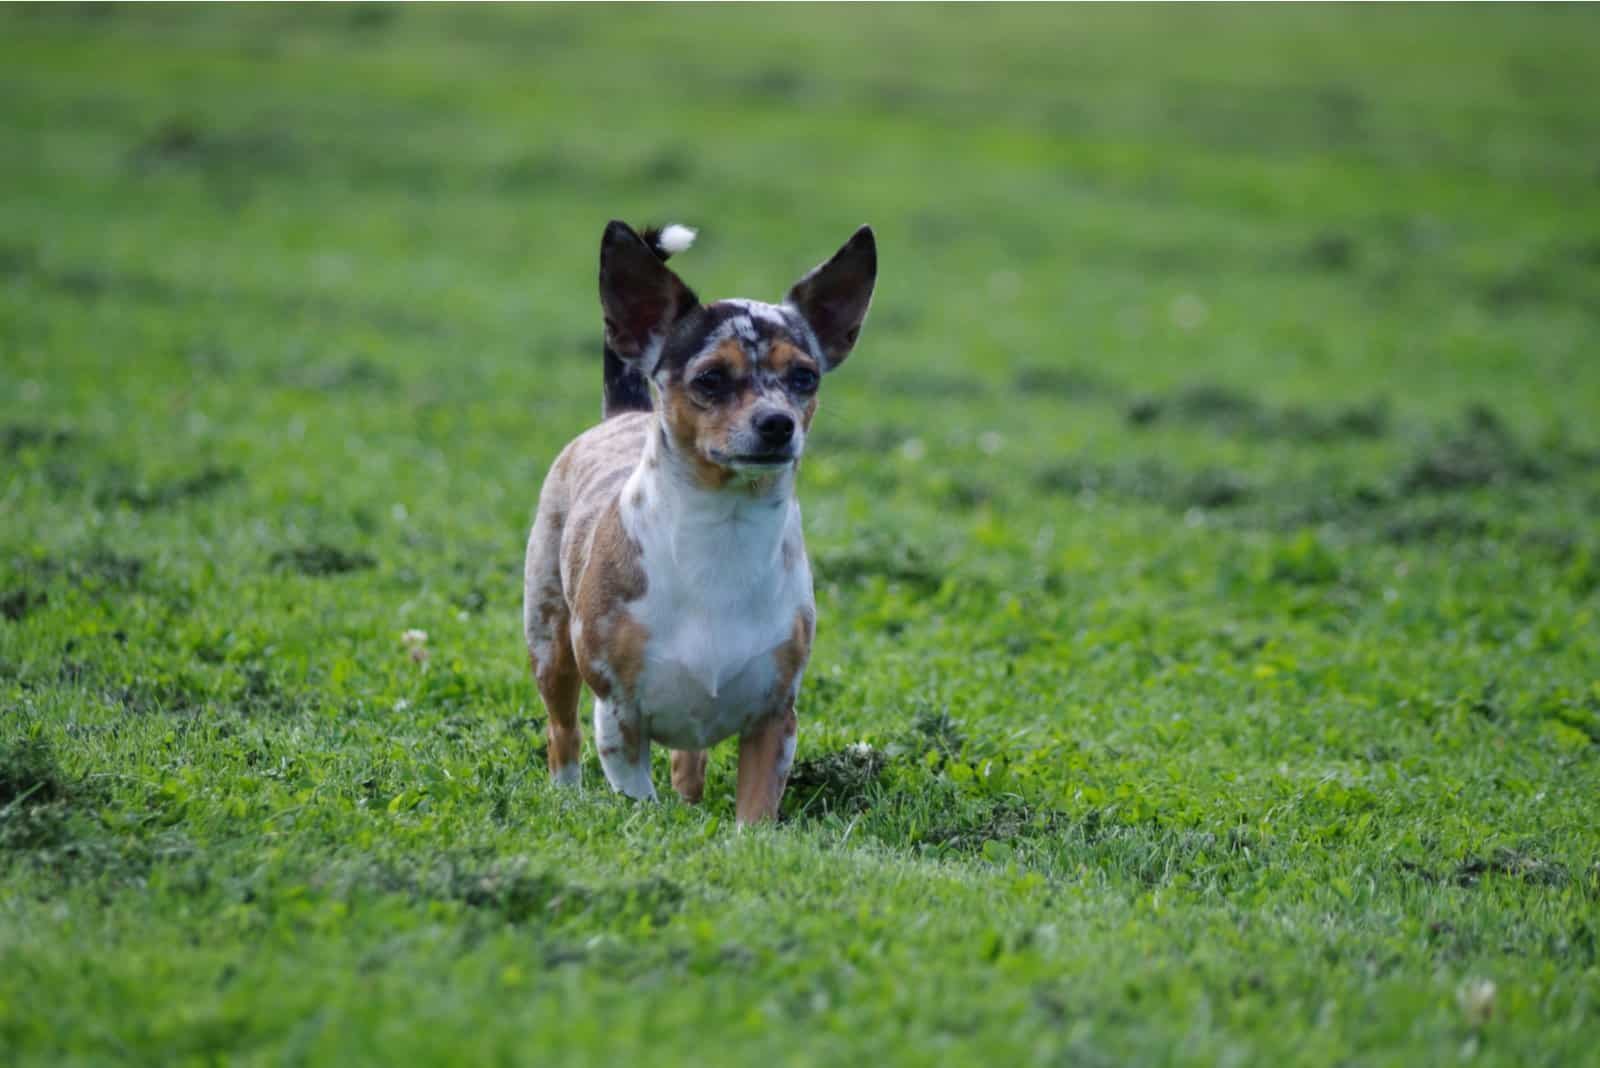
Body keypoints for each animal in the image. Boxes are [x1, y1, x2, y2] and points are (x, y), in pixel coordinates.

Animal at [521, 219, 876, 824]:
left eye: (804, 378)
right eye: (710, 379)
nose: (778, 423)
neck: (723, 532)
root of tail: (625, 413)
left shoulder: (775, 720)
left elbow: (754, 811)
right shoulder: (618, 715)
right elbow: (635, 793)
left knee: (689, 762)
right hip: (550, 643)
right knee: (561, 731)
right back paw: (565, 792)